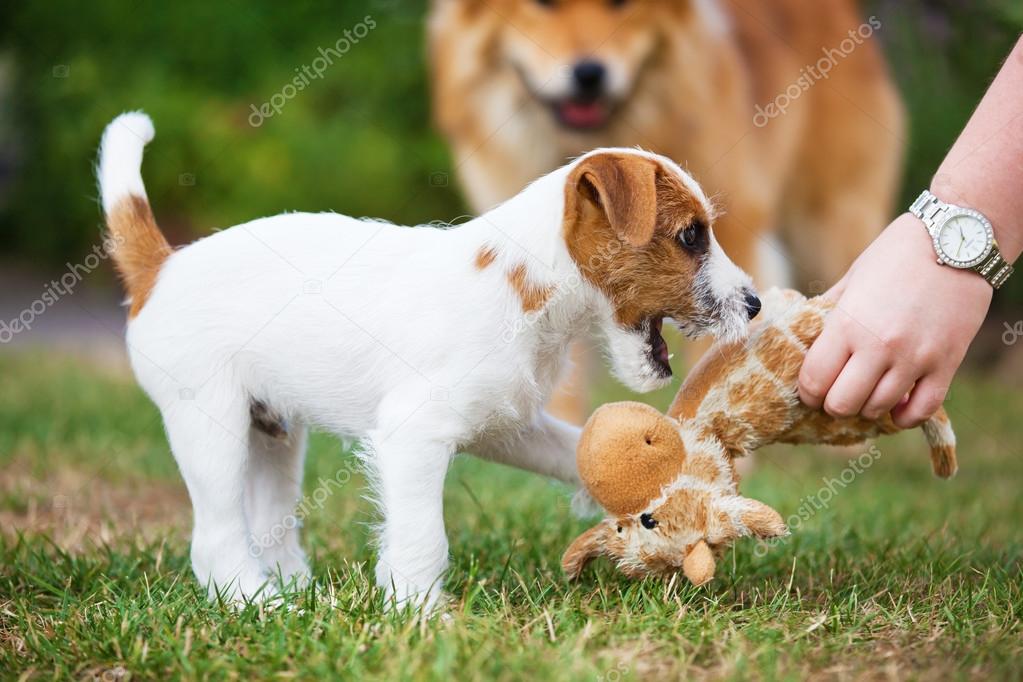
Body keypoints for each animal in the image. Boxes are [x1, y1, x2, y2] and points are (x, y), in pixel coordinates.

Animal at [97, 113, 761, 613]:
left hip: (273, 435)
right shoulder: (413, 436)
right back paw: (263, 606)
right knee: (214, 537)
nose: (754, 305)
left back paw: (300, 594)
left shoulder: (507, 424)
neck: (527, 286)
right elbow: (422, 536)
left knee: (270, 520)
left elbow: (576, 451)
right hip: (211, 427)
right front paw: (417, 613)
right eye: (691, 236)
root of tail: (160, 267)